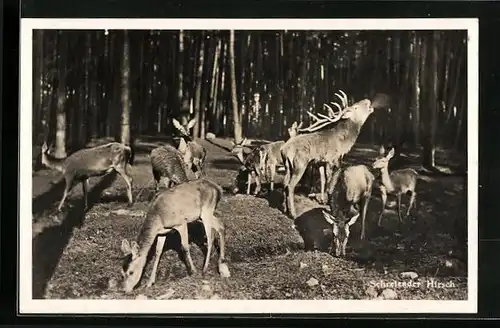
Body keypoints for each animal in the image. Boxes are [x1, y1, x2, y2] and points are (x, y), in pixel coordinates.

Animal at [282, 89, 376, 218]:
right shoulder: (331, 159)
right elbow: (330, 180)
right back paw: (293, 213)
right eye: (356, 107)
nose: (367, 100)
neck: (342, 143)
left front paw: (321, 200)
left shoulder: (320, 161)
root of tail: (284, 150)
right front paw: (328, 202)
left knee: (284, 183)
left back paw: (284, 208)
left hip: (287, 166)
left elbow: (322, 180)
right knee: (290, 186)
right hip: (300, 164)